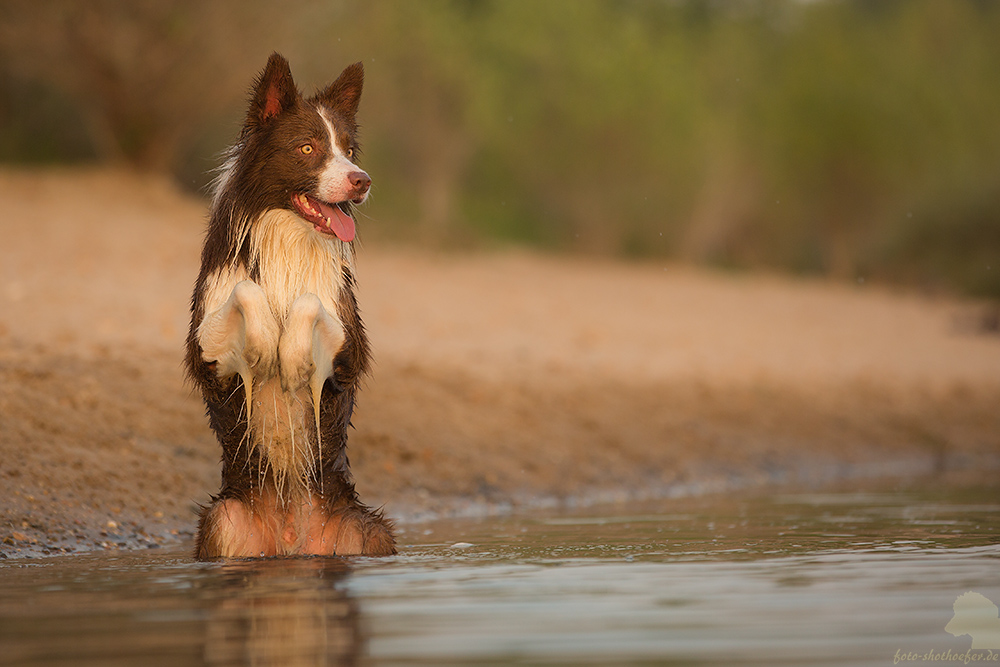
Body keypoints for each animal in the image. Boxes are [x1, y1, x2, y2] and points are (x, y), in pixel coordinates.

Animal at [187, 54, 394, 560]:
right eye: (307, 148)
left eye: (349, 151)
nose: (362, 181)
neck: (289, 237)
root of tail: (291, 537)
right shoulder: (207, 355)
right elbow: (247, 290)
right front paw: (266, 345)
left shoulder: (348, 351)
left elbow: (308, 299)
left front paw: (293, 358)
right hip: (224, 524)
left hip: (369, 534)